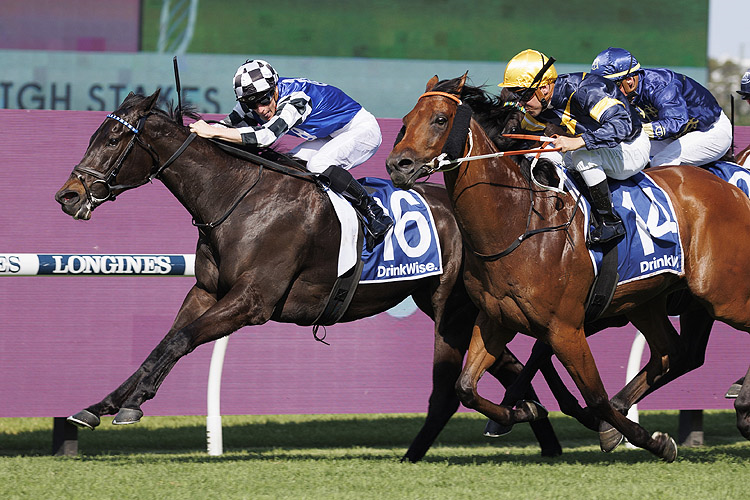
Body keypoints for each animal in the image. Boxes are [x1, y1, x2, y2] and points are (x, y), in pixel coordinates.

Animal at [54, 89, 564, 460]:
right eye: (95, 134)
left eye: (114, 140)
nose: (68, 195)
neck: (236, 197)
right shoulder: (206, 291)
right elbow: (164, 343)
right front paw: (100, 406)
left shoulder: (252, 301)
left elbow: (180, 340)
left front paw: (130, 406)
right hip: (460, 308)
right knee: (508, 367)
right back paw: (542, 431)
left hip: (451, 309)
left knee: (462, 384)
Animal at [388, 74, 750, 460]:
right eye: (406, 121)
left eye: (440, 120)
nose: (398, 165)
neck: (519, 222)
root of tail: (730, 189)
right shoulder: (495, 318)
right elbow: (466, 387)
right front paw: (521, 411)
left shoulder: (566, 327)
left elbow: (595, 396)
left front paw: (649, 440)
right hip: (648, 301)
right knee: (673, 353)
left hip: (721, 295)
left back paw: (741, 408)